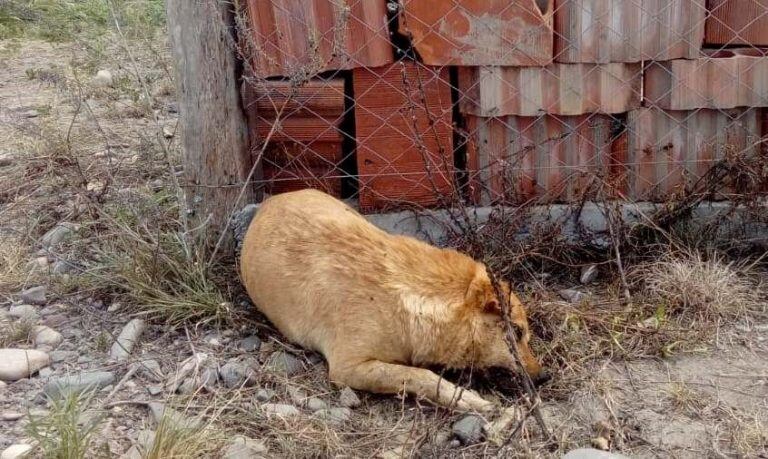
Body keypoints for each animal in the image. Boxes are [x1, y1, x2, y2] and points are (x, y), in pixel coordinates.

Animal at [240, 189, 544, 412]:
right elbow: (420, 375)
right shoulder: (348, 368)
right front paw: (463, 397)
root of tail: (270, 200)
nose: (544, 376)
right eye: (518, 332)